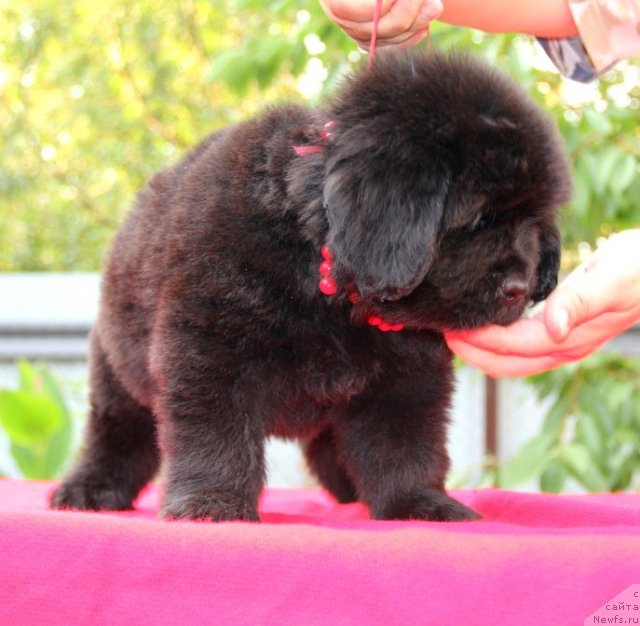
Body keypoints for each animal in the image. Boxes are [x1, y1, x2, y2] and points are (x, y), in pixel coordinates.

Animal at [51, 50, 568, 520]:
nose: (521, 289)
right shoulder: (207, 349)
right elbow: (214, 433)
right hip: (118, 372)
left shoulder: (407, 376)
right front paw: (211, 504)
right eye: (480, 219)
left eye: (534, 222)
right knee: (118, 433)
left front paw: (420, 504)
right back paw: (89, 489)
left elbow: (406, 444)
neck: (323, 276)